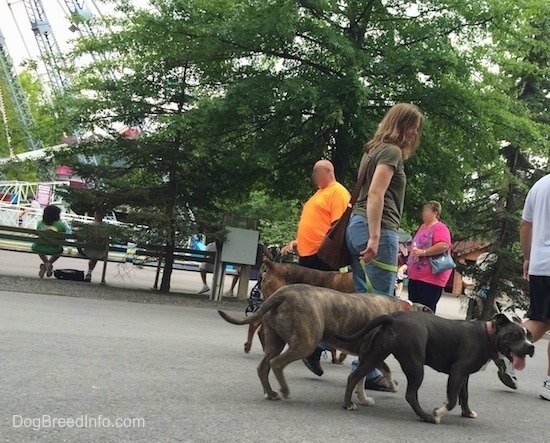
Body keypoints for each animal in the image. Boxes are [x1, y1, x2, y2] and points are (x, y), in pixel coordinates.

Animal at [219, 284, 432, 402]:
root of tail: (283, 293)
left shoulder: (366, 355)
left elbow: (361, 380)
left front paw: (364, 398)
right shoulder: (372, 353)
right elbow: (384, 370)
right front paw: (391, 385)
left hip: (275, 341)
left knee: (263, 366)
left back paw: (270, 393)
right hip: (306, 342)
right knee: (277, 364)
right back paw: (285, 391)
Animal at [336, 310, 536, 424]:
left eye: (529, 336)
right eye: (515, 335)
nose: (531, 347)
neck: (488, 336)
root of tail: (393, 318)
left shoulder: (464, 376)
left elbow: (464, 396)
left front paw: (467, 413)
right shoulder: (458, 372)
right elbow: (452, 400)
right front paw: (439, 413)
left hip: (374, 356)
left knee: (354, 377)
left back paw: (348, 404)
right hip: (416, 366)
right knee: (411, 394)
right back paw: (426, 417)